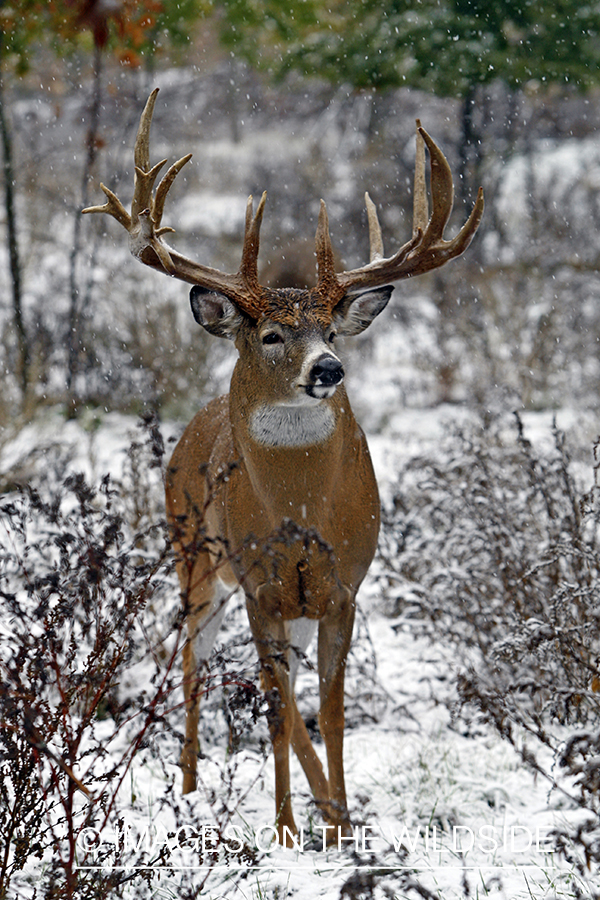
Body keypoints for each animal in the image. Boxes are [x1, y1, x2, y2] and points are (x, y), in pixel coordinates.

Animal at [84, 88, 486, 848]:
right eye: (271, 335)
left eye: (330, 329)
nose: (328, 369)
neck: (300, 514)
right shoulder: (259, 584)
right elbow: (276, 709)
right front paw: (289, 830)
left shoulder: (343, 585)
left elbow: (328, 711)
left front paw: (341, 821)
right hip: (195, 555)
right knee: (193, 664)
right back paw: (189, 790)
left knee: (280, 687)